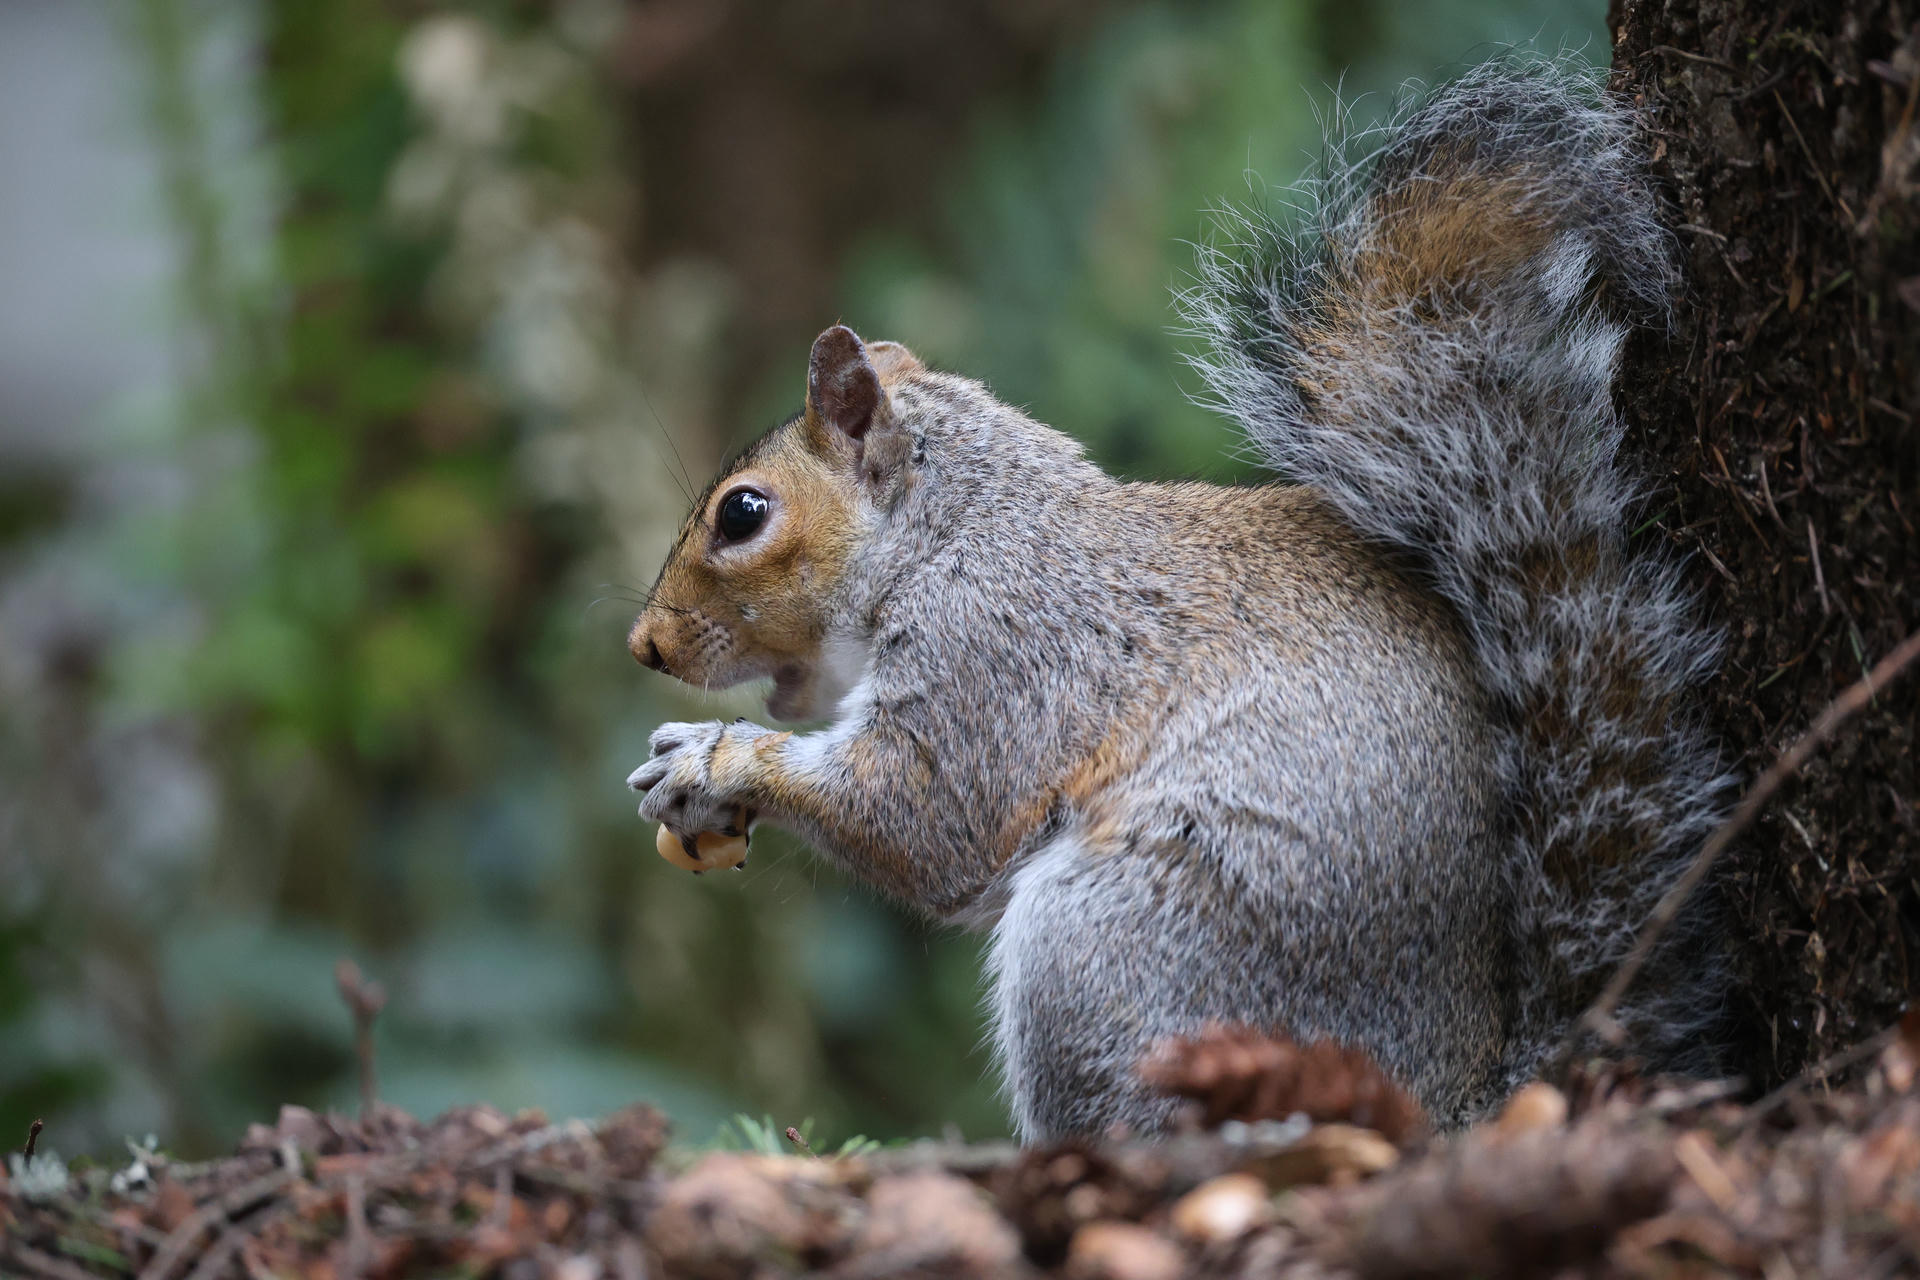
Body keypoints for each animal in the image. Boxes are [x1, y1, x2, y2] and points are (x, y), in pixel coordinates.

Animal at [624, 55, 1731, 1140]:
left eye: (744, 513)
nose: (644, 645)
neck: (954, 529)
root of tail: (1454, 1100)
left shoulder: (1001, 652)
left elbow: (923, 818)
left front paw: (715, 758)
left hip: (1116, 950)